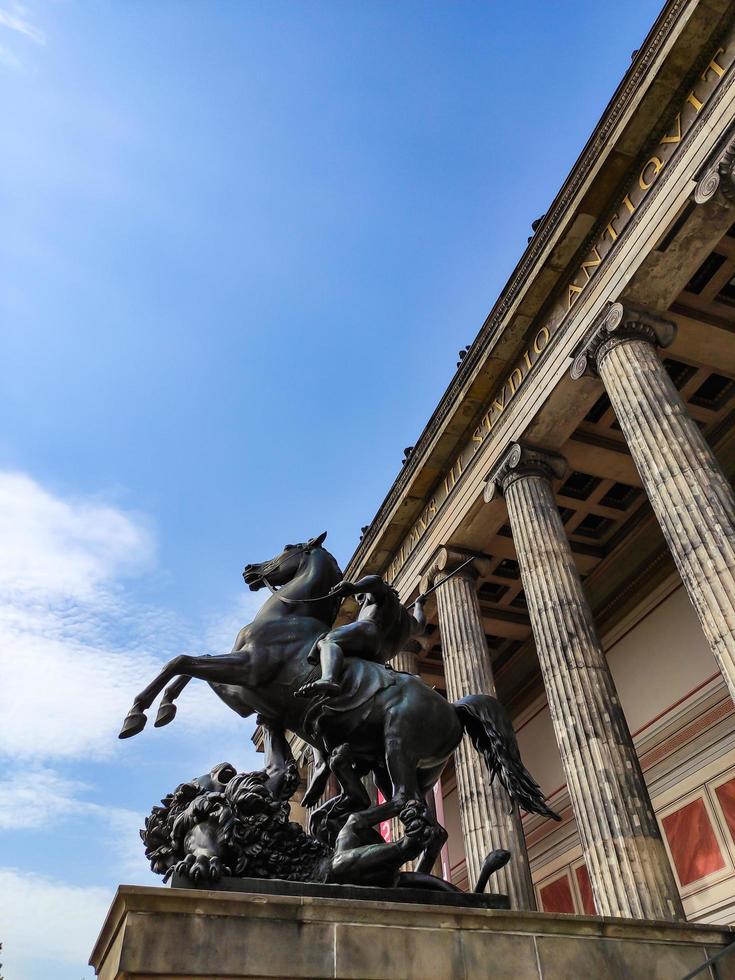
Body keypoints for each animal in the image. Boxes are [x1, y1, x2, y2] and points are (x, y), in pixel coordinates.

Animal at [119, 532, 556, 868]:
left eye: (289, 546)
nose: (250, 569)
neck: (288, 616)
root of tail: (453, 706)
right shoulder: (262, 711)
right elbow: (274, 765)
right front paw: (160, 710)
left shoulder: (247, 669)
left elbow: (182, 661)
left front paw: (141, 713)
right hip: (401, 765)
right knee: (426, 822)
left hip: (398, 741)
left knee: (404, 800)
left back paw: (353, 826)